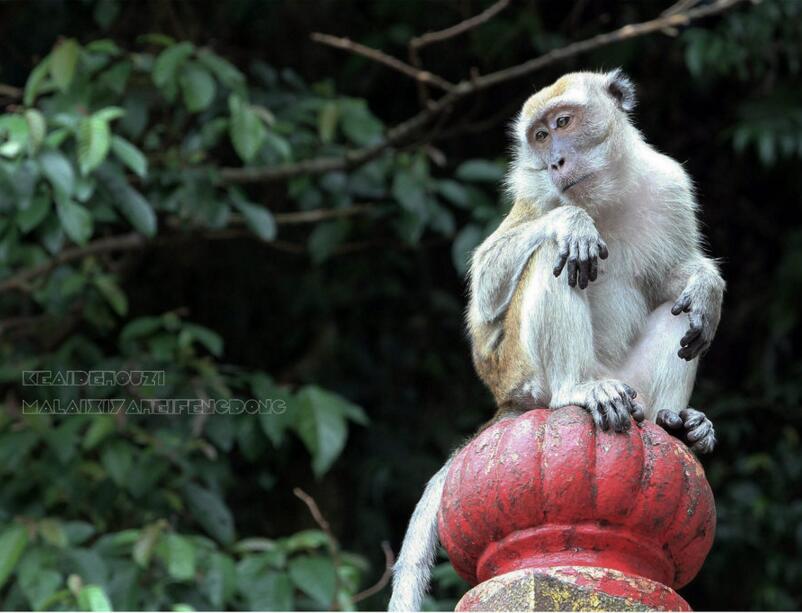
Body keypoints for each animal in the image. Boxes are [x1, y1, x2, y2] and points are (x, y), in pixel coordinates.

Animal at [384, 69, 720, 608]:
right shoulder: (535, 198)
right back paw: (577, 390)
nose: (556, 161)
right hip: (522, 372)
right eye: (539, 137)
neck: (604, 197)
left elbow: (673, 283)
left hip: (629, 382)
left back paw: (674, 424)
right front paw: (572, 222)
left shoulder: (669, 184)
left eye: (563, 123)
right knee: (551, 257)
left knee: (684, 318)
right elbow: (486, 297)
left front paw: (707, 284)